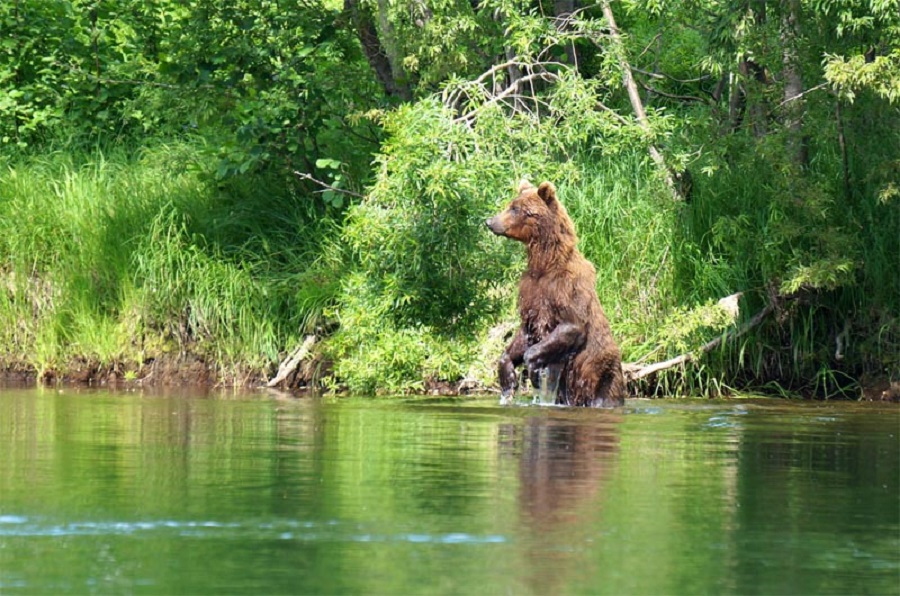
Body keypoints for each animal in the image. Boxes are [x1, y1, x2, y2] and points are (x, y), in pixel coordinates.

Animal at [486, 179, 624, 408]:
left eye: (515, 209)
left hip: (601, 375)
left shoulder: (566, 288)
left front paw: (533, 369)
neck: (545, 262)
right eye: (510, 205)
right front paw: (508, 376)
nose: (490, 221)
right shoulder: (531, 292)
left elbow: (572, 325)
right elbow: (524, 331)